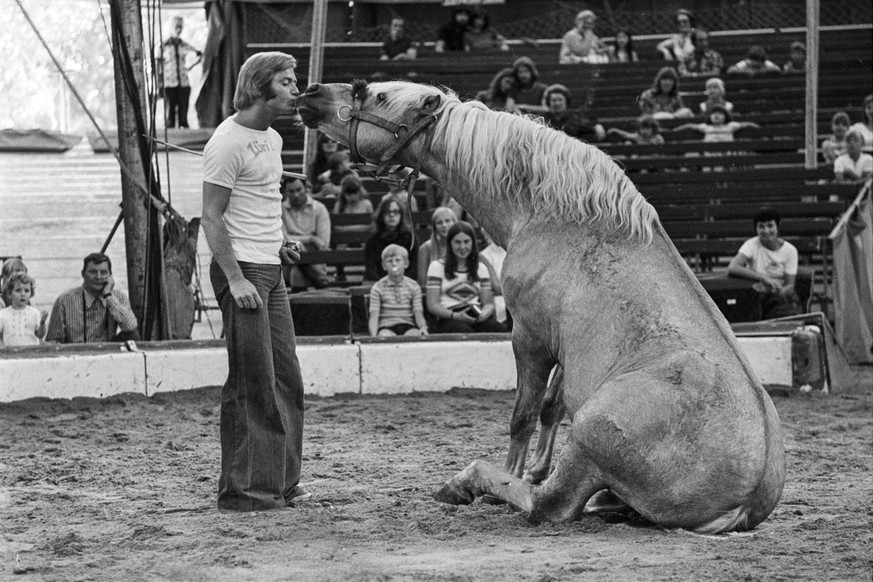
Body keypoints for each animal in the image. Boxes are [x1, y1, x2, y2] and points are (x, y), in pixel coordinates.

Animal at [296, 81, 788, 532]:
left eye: (378, 96)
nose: (312, 92)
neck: (549, 213)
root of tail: (748, 498)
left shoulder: (528, 337)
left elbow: (524, 416)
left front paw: (512, 472)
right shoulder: (566, 349)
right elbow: (551, 407)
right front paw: (532, 468)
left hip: (590, 433)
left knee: (549, 505)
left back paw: (465, 484)